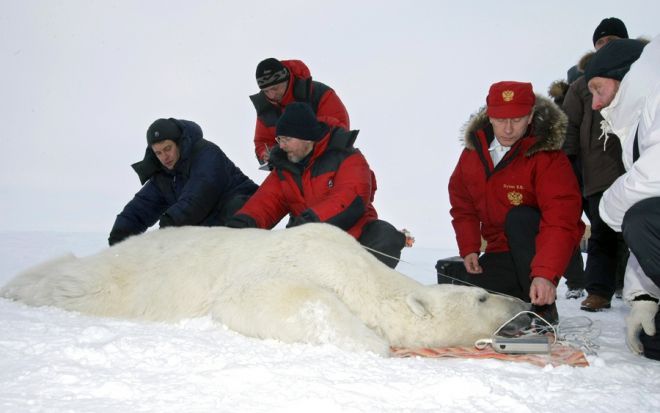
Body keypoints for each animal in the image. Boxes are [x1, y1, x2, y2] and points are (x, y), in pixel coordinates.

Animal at [0, 224, 524, 356]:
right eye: (481, 296)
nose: (521, 301)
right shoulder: (293, 263)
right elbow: (273, 299)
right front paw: (373, 341)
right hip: (103, 282)